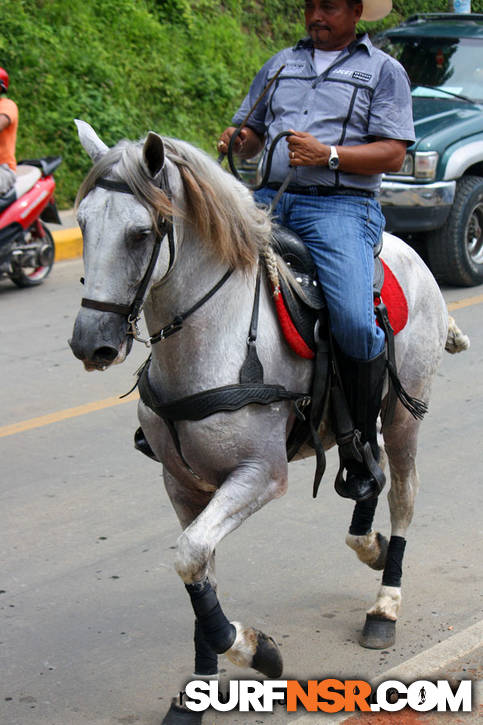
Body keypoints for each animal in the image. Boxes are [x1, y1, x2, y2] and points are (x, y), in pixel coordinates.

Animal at [68, 121, 468, 720]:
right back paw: (368, 543)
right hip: (360, 425)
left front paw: (258, 652)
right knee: (367, 467)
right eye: (83, 224)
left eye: (140, 234)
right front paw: (200, 685)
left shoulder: (260, 475)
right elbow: (198, 570)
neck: (215, 337)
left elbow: (190, 555)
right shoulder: (181, 484)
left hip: (404, 414)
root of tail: (406, 250)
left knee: (404, 494)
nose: (90, 343)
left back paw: (385, 602)